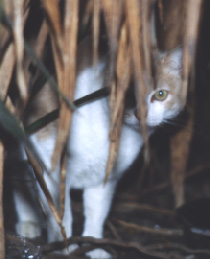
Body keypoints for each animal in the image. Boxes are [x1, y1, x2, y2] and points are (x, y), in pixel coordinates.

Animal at [13, 36, 185, 259]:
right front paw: (63, 245)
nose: (140, 114)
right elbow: (60, 214)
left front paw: (94, 247)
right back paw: (28, 221)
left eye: (161, 94)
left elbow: (97, 213)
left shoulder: (104, 177)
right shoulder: (49, 164)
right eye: (126, 94)